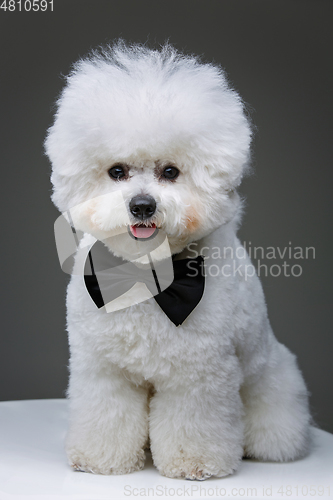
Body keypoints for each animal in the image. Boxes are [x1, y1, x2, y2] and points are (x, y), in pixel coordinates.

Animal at [45, 41, 310, 478]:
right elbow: (106, 414)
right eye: (116, 171)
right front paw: (101, 459)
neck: (145, 274)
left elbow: (192, 422)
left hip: (270, 377)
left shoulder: (199, 375)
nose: (141, 205)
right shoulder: (104, 369)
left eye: (171, 171)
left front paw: (194, 462)